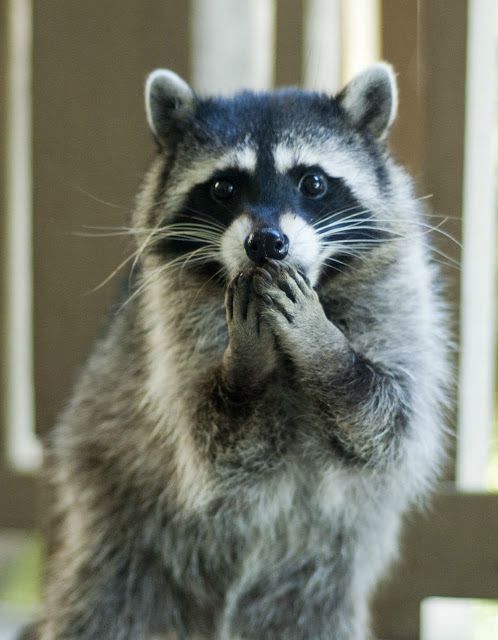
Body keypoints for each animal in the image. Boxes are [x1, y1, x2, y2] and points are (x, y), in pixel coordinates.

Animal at [39, 63, 449, 640]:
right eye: (223, 186)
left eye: (313, 182)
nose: (267, 242)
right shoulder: (171, 327)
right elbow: (217, 444)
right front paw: (247, 367)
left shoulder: (398, 297)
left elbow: (390, 424)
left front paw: (327, 353)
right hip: (118, 530)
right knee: (102, 607)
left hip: (311, 584)